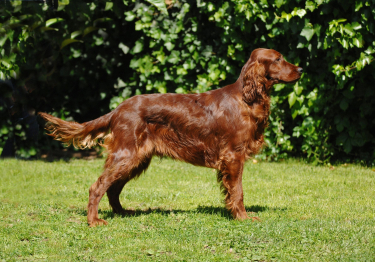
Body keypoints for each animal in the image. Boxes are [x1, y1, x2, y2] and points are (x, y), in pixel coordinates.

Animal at [39, 48, 302, 226]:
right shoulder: (233, 156)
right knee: (98, 186)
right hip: (127, 154)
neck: (245, 98)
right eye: (278, 59)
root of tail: (118, 109)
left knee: (113, 188)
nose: (300, 69)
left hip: (137, 159)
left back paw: (123, 213)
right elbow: (237, 191)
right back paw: (94, 221)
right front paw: (243, 217)